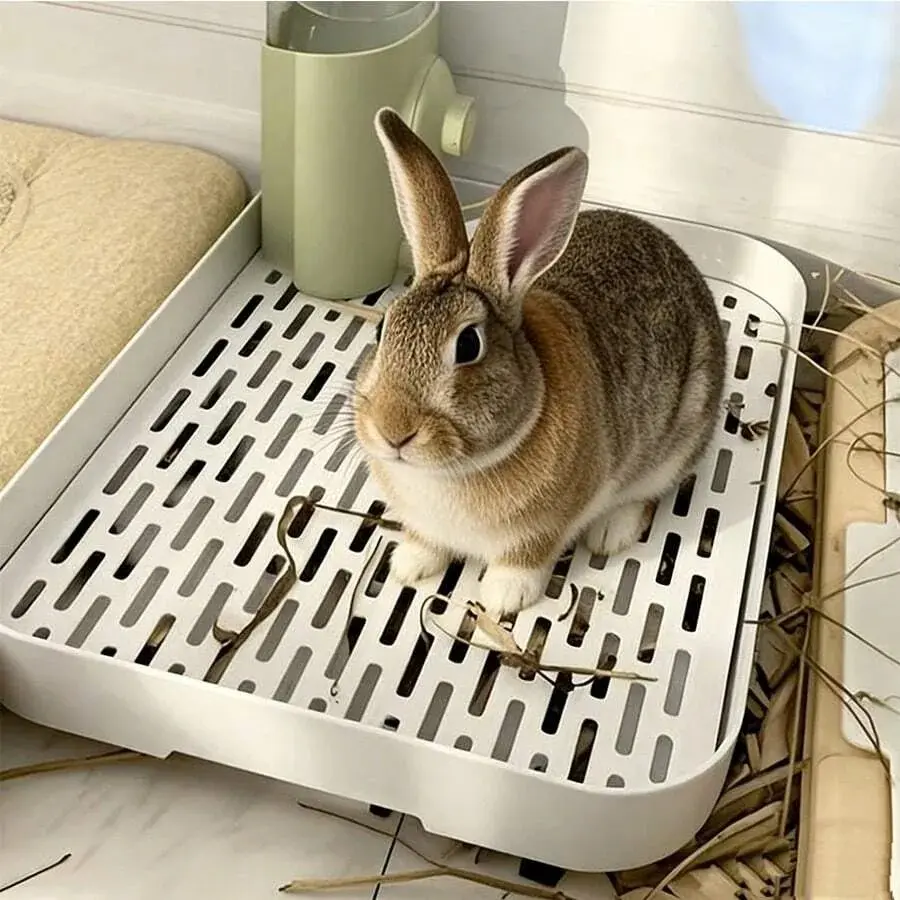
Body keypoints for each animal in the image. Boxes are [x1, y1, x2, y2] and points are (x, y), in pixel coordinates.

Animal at [352, 108, 727, 620]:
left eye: (468, 345)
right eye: (382, 329)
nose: (393, 430)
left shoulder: (544, 528)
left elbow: (526, 558)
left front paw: (503, 596)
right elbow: (425, 541)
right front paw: (408, 564)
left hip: (677, 440)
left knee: (650, 493)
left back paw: (610, 533)